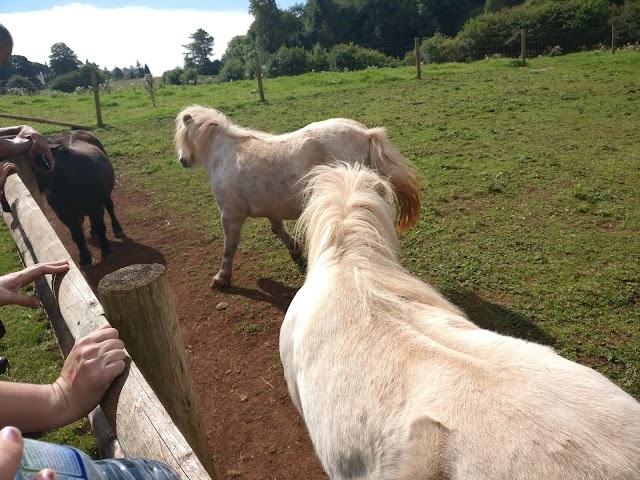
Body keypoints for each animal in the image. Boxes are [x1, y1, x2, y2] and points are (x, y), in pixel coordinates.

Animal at [174, 106, 420, 288]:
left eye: (183, 138)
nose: (182, 160)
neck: (225, 156)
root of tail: (366, 134)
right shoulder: (271, 208)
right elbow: (278, 230)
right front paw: (295, 249)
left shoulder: (230, 215)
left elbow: (229, 247)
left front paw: (221, 278)